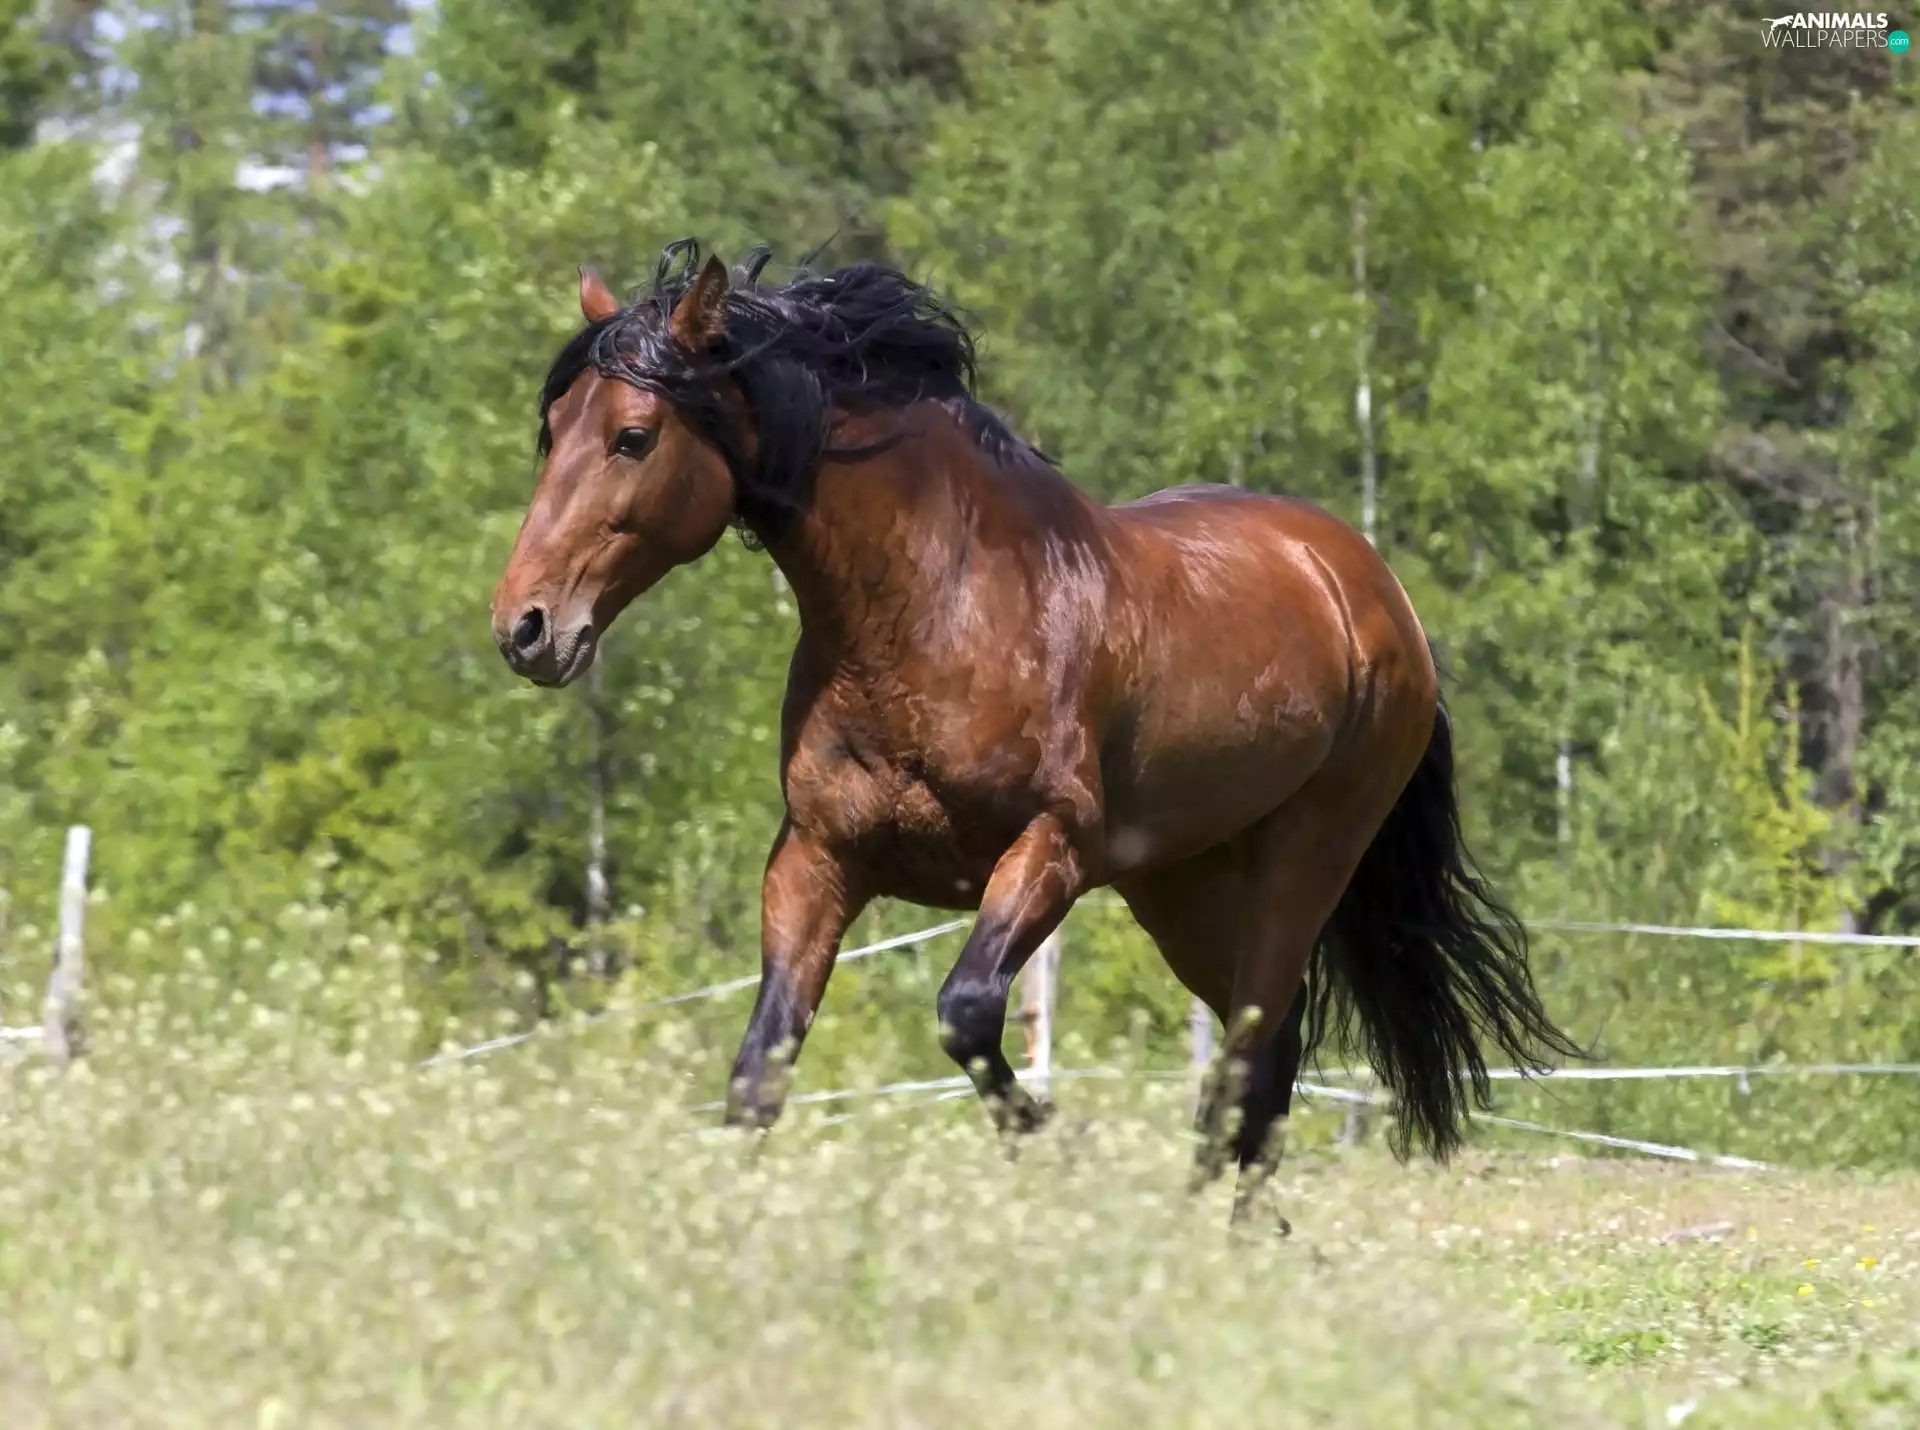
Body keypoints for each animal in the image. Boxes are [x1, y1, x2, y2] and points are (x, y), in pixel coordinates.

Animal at [490, 239, 1579, 1223]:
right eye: (555, 427)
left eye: (633, 436)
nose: (526, 627)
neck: (932, 610)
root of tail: (1366, 585)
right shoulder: (815, 858)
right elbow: (763, 1064)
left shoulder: (1051, 850)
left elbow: (965, 1013)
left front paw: (1060, 1153)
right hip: (1179, 884)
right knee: (1262, 1045)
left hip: (1305, 856)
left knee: (1250, 1043)